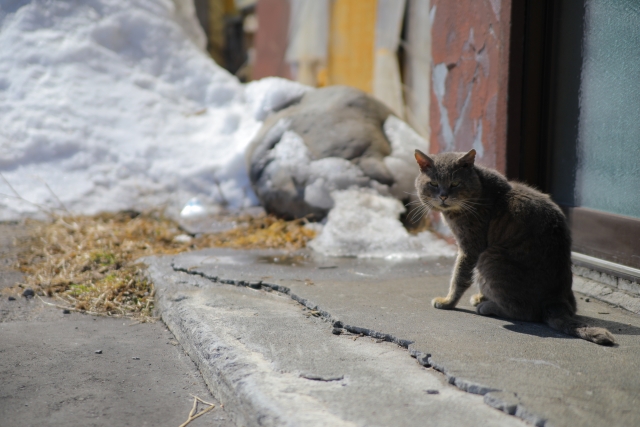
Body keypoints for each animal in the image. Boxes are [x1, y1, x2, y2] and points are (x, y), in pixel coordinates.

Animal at [416, 149, 616, 346]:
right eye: (433, 184)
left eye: (455, 183)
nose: (443, 196)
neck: (480, 189)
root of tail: (555, 300)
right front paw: (480, 295)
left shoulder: (471, 248)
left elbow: (459, 277)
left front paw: (448, 301)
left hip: (489, 258)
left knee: (525, 312)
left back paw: (488, 306)